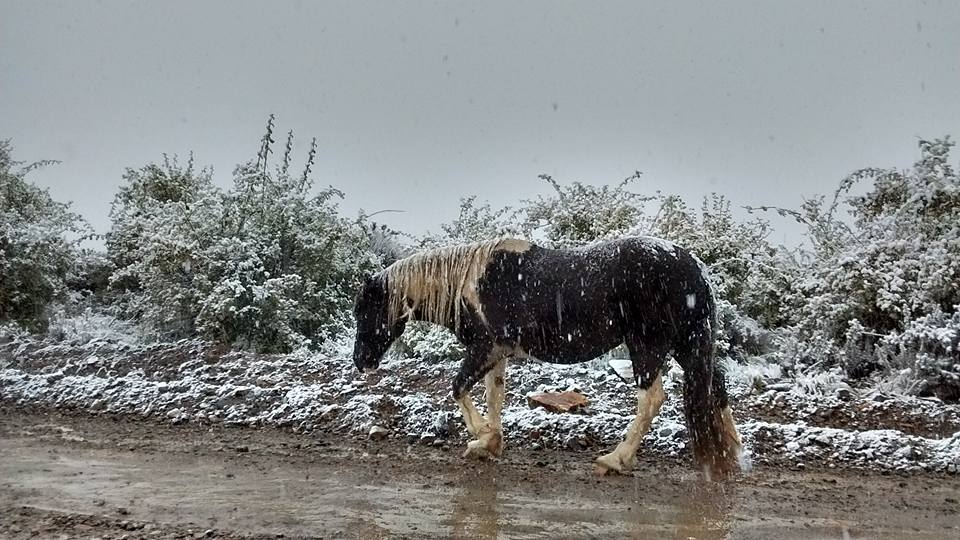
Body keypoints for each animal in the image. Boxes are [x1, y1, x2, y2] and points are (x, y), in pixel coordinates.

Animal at [350, 236, 744, 476]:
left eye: (364, 310)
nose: (360, 361)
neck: (469, 282)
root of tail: (692, 267)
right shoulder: (497, 353)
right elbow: (494, 395)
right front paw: (491, 442)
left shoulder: (483, 349)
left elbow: (458, 388)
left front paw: (482, 437)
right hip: (689, 344)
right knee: (717, 384)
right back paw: (733, 452)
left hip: (648, 346)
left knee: (652, 398)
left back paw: (615, 459)